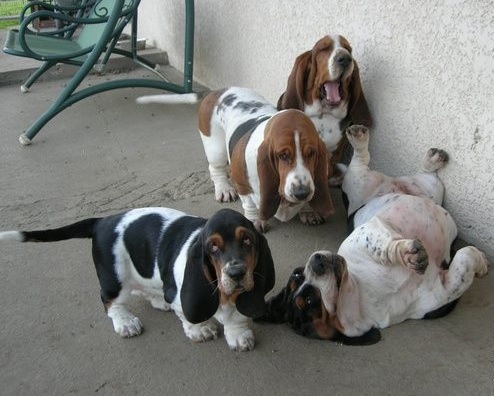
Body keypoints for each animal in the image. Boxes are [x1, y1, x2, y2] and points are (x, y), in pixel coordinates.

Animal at [0, 206, 274, 352]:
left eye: (247, 240)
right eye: (213, 247)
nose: (236, 273)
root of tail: (103, 221)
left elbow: (236, 316)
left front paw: (238, 334)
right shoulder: (180, 294)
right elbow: (188, 315)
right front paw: (201, 329)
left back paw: (158, 301)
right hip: (115, 278)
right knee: (109, 301)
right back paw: (126, 322)